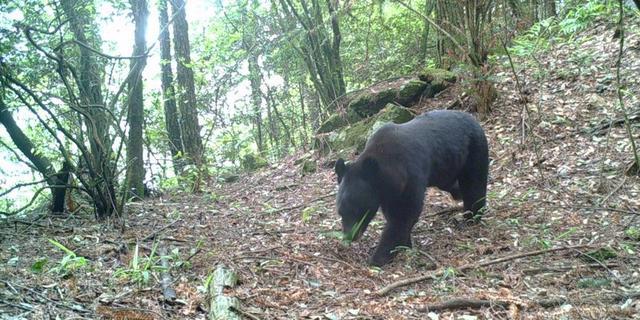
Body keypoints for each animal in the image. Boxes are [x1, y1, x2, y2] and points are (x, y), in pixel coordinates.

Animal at [332, 109, 488, 266]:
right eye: (341, 212)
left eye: (358, 210)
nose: (349, 236)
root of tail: (472, 118)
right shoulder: (388, 191)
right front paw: (405, 244)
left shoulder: (410, 176)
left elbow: (404, 214)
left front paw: (378, 257)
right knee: (450, 183)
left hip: (474, 149)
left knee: (474, 183)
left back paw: (472, 216)